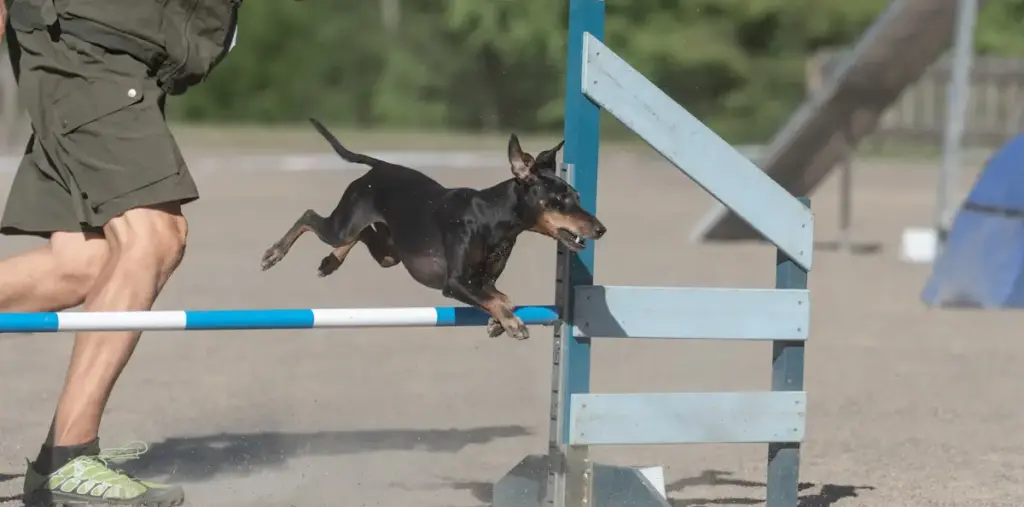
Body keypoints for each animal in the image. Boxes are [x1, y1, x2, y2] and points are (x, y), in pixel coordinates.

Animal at [260, 118, 602, 342]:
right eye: (560, 200)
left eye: (578, 196)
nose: (601, 229)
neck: (490, 217)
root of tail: (380, 166)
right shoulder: (455, 283)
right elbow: (494, 299)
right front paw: (511, 323)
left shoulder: (484, 281)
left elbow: (503, 297)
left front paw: (499, 321)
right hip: (343, 226)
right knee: (310, 216)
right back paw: (274, 253)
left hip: (391, 251)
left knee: (363, 235)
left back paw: (330, 261)